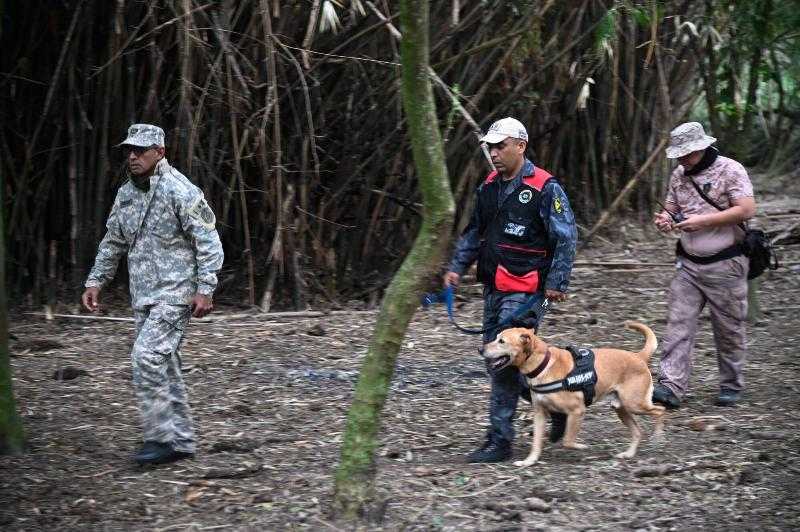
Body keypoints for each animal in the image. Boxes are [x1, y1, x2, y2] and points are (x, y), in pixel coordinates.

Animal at [484, 320, 664, 466]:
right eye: (496, 337)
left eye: (502, 341)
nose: (480, 348)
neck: (543, 365)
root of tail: (639, 356)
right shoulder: (540, 413)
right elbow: (536, 443)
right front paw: (529, 461)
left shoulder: (577, 411)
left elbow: (568, 441)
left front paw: (581, 446)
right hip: (621, 408)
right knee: (638, 432)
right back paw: (628, 454)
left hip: (635, 404)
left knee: (660, 410)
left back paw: (658, 436)